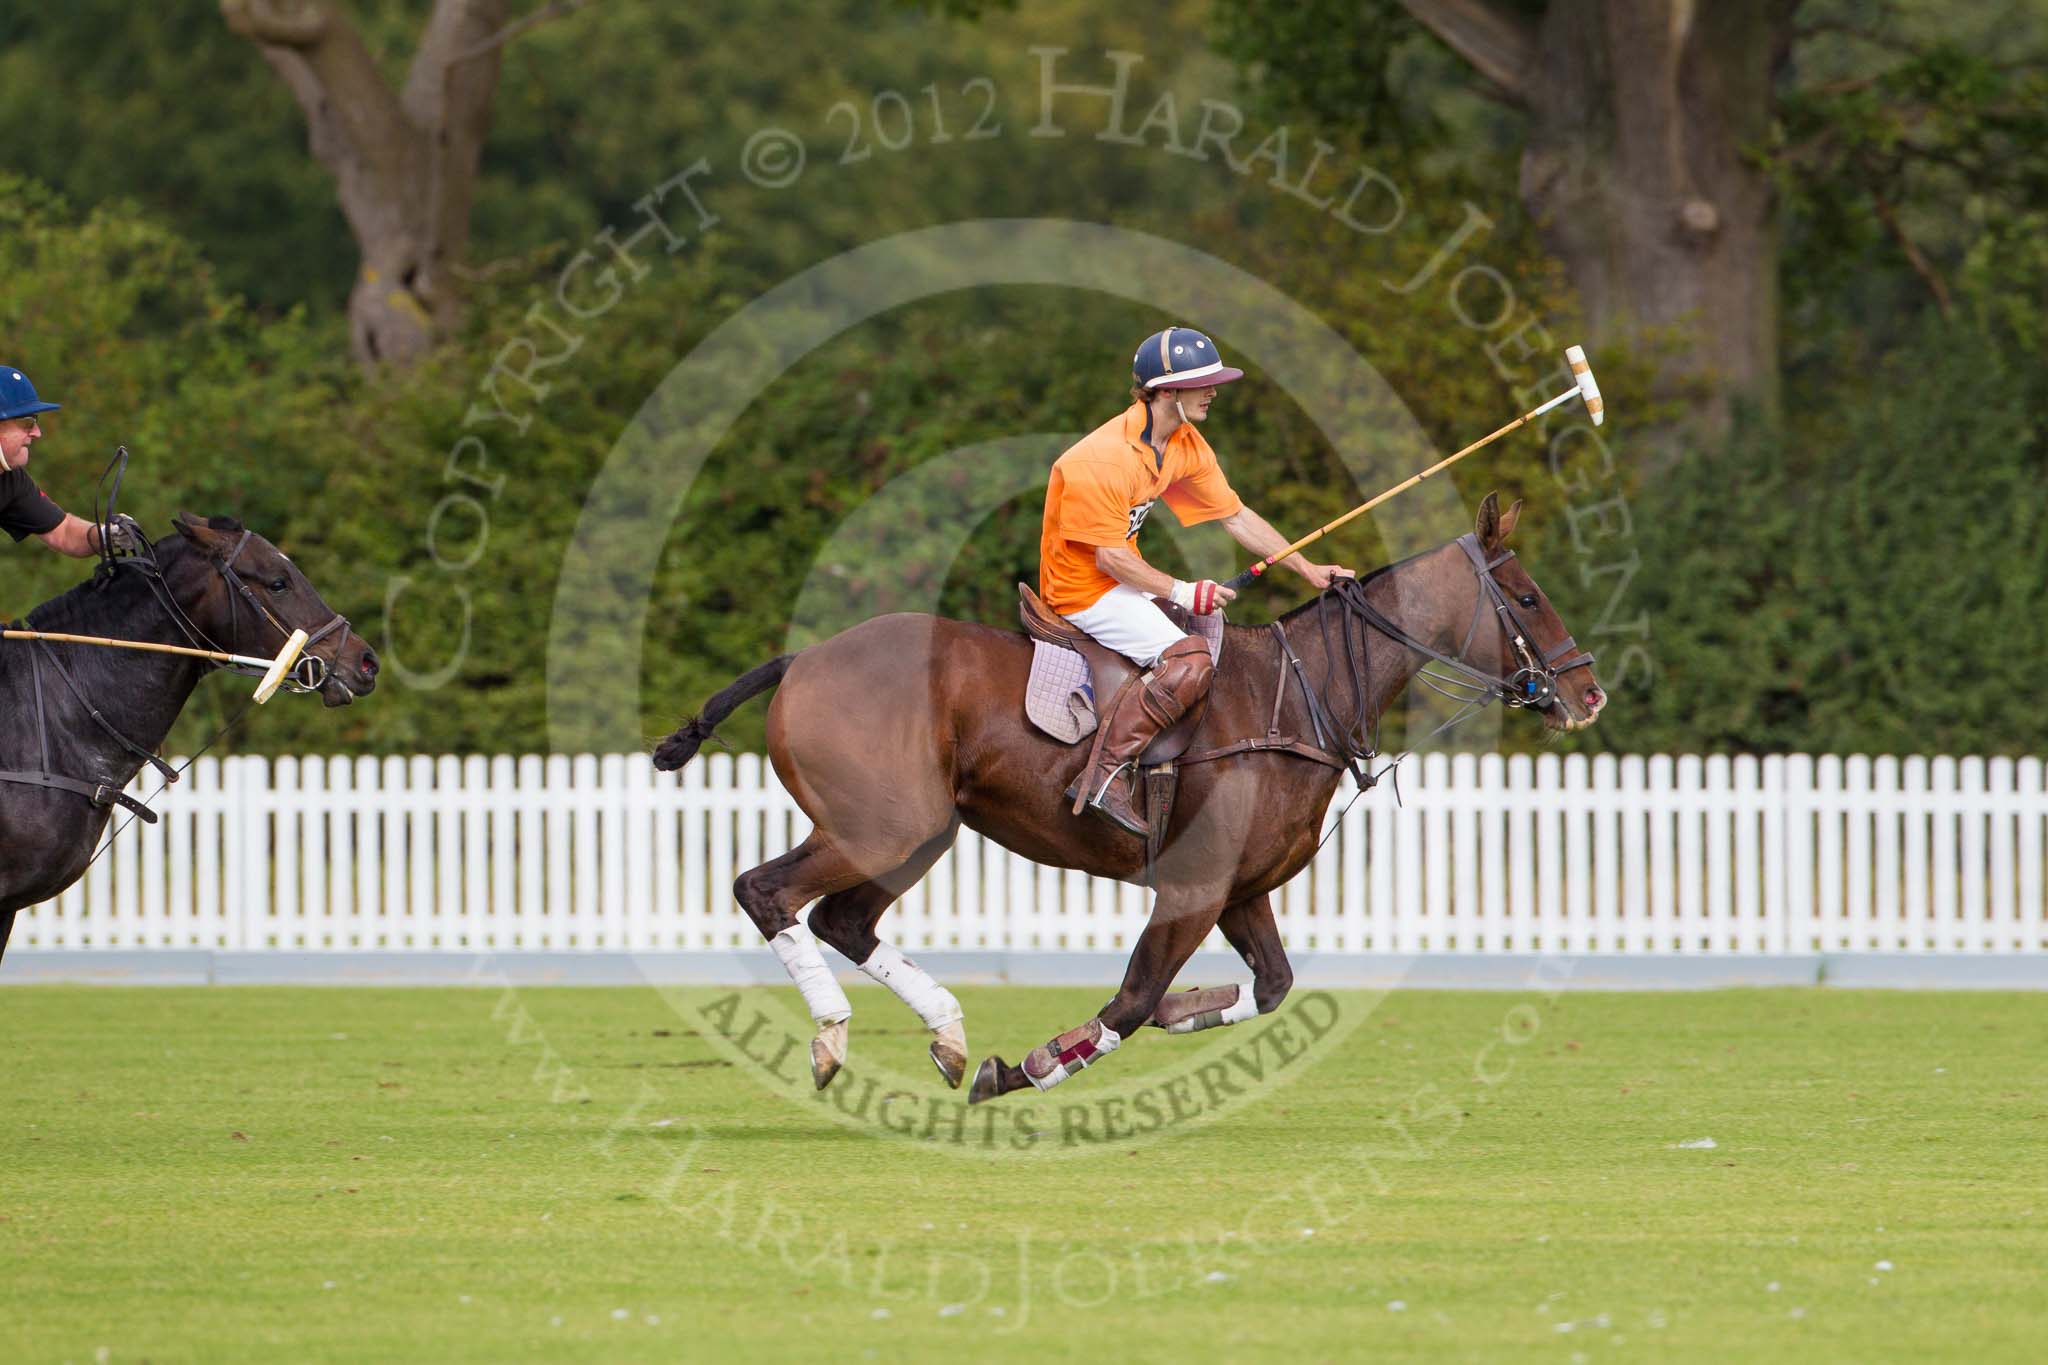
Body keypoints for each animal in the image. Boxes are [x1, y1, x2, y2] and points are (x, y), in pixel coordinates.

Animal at [651, 497, 1597, 1105]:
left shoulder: (1240, 889)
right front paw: (1027, 1067)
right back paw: (833, 1039)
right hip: (881, 825)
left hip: (923, 831)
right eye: (1525, 596)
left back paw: (948, 1035)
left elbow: (1271, 984)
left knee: (841, 918)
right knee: (766, 890)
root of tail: (801, 659)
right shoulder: (1192, 888)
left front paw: (1186, 1009)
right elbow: (1133, 1001)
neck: (1303, 697)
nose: (1588, 693)